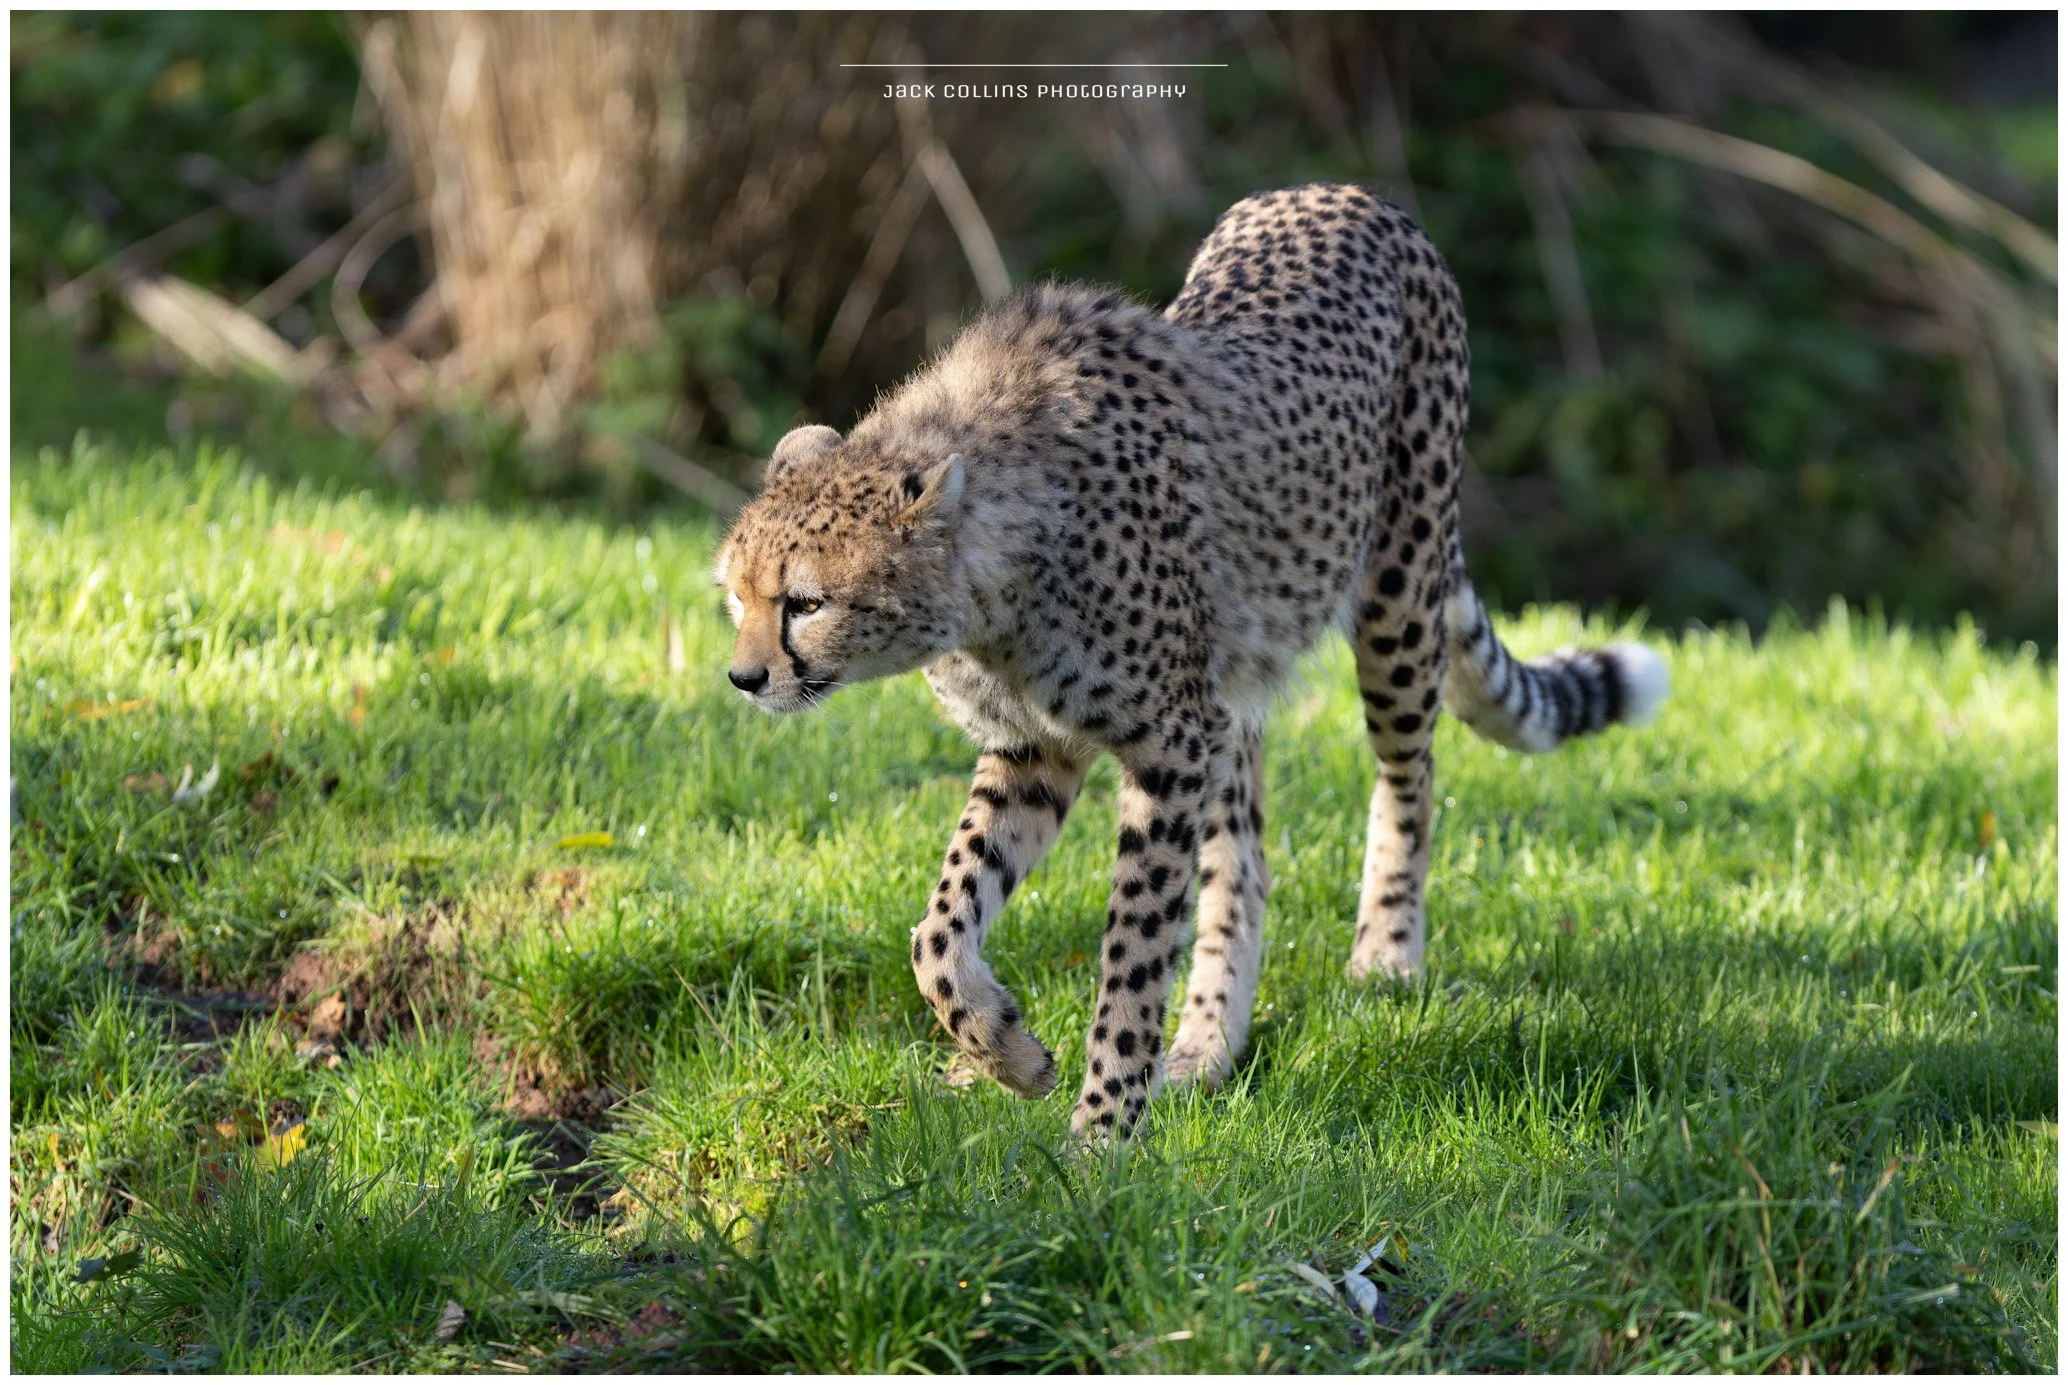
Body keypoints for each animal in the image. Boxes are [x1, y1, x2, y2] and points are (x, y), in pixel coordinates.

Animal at [714, 182, 1668, 1140]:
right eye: (736, 597)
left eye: (805, 603)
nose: (744, 678)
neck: (995, 580)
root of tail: (1344, 191)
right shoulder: (1039, 748)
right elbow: (941, 926)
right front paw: (1010, 1053)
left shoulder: (1166, 743)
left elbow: (1133, 950)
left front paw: (1101, 1131)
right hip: (1235, 686)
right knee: (1242, 863)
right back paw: (1208, 1042)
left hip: (1397, 593)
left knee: (1409, 777)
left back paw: (1387, 957)